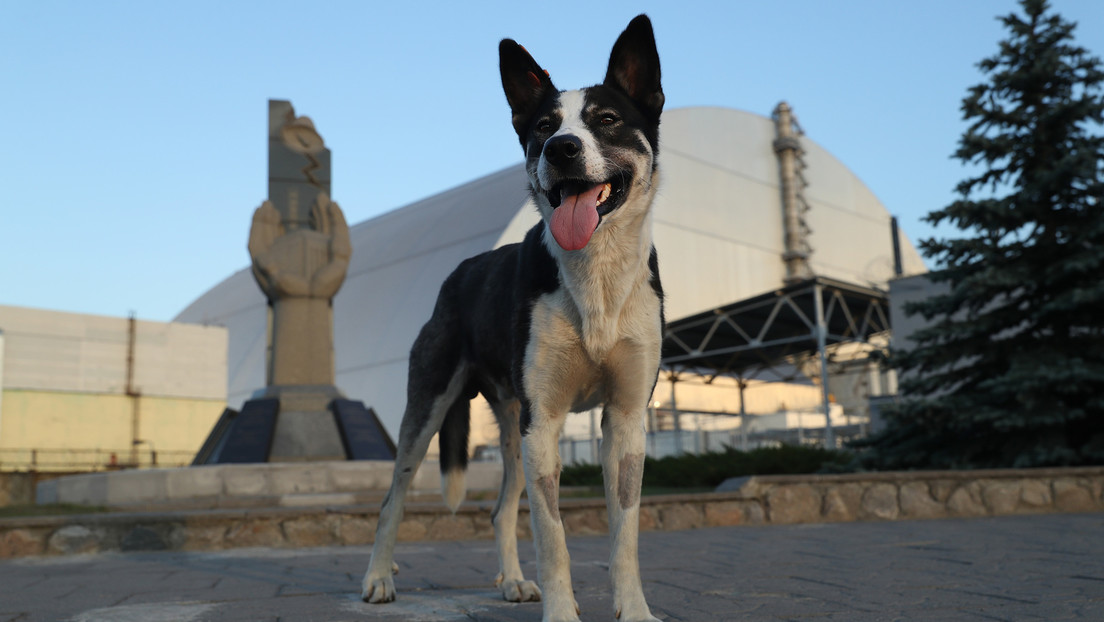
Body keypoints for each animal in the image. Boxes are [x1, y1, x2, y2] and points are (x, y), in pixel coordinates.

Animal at [364, 14, 662, 622]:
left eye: (608, 120)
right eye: (543, 126)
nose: (561, 148)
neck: (596, 275)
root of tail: (457, 273)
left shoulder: (625, 419)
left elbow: (625, 531)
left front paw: (634, 609)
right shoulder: (543, 420)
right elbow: (553, 535)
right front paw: (563, 612)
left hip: (510, 426)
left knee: (501, 508)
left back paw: (513, 581)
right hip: (430, 409)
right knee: (393, 498)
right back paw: (379, 578)